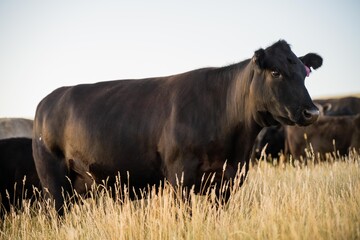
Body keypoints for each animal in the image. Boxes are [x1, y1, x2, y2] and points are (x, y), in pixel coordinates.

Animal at [32, 40, 322, 215]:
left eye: (304, 73)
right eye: (276, 72)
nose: (312, 111)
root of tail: (47, 100)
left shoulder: (228, 180)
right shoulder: (180, 176)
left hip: (79, 185)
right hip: (53, 181)